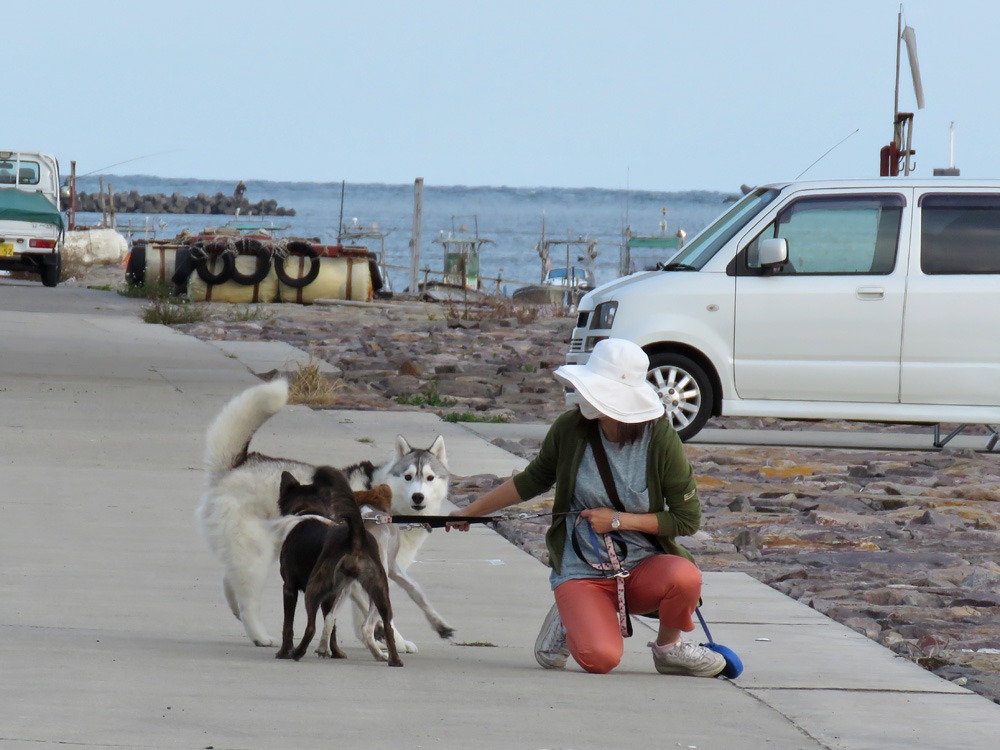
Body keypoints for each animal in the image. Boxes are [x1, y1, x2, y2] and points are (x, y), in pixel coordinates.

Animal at [276, 464, 400, 668]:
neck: (308, 510)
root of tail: (356, 537)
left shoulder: (289, 588)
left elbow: (288, 625)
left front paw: (283, 652)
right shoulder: (332, 594)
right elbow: (331, 622)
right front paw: (334, 652)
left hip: (314, 588)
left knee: (311, 626)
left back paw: (297, 652)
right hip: (380, 591)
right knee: (387, 626)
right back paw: (395, 660)